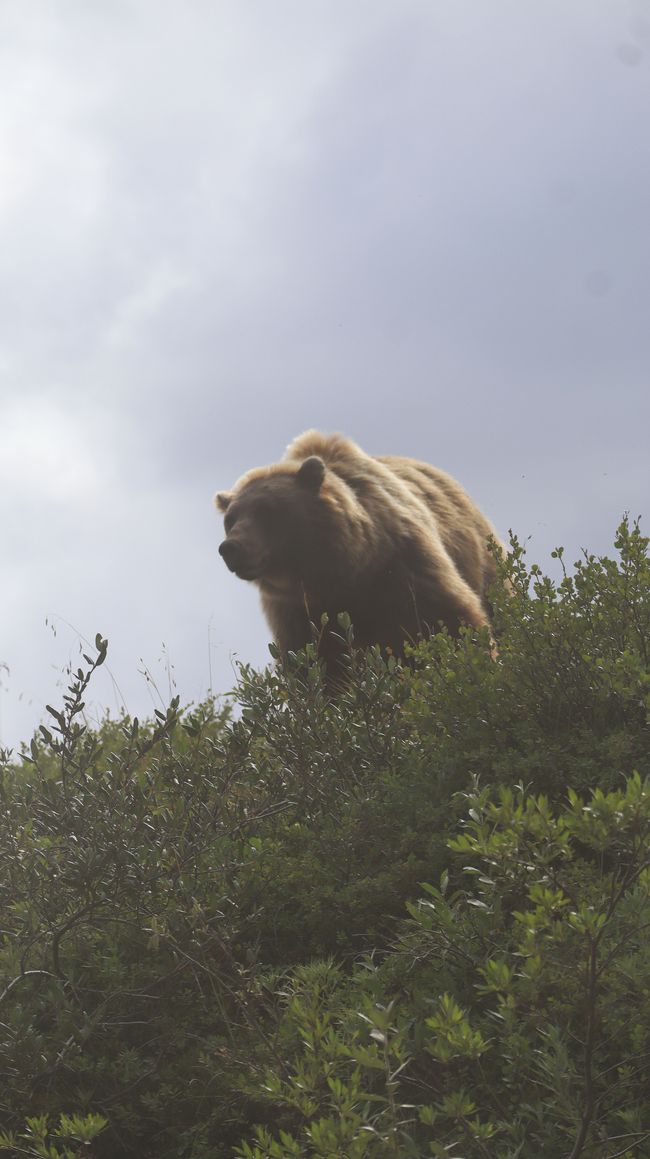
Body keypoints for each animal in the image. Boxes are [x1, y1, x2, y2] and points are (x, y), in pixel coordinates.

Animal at [215, 430, 505, 673]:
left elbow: (453, 621)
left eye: (266, 510)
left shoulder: (404, 566)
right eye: (230, 519)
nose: (231, 548)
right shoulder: (298, 611)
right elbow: (312, 663)